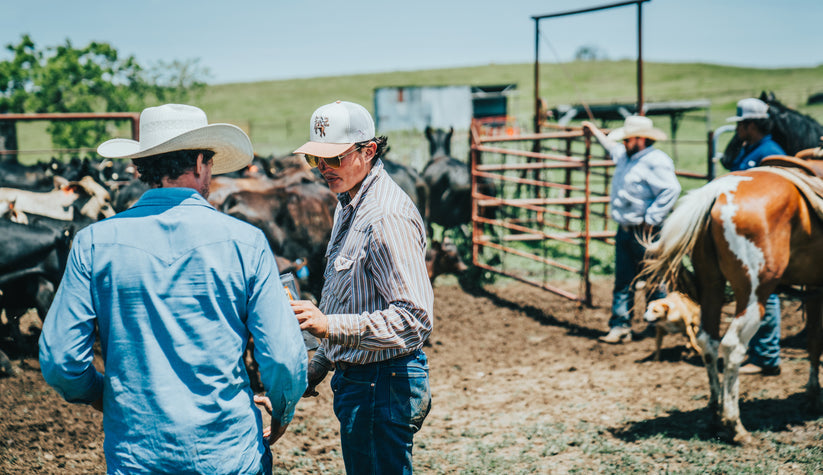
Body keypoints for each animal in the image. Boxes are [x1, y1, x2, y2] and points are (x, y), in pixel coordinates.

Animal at [644, 163, 823, 446]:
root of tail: (718, 190)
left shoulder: (814, 285)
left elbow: (815, 340)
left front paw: (814, 396)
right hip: (753, 295)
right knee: (732, 347)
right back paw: (735, 425)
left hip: (712, 286)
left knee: (708, 342)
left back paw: (715, 416)